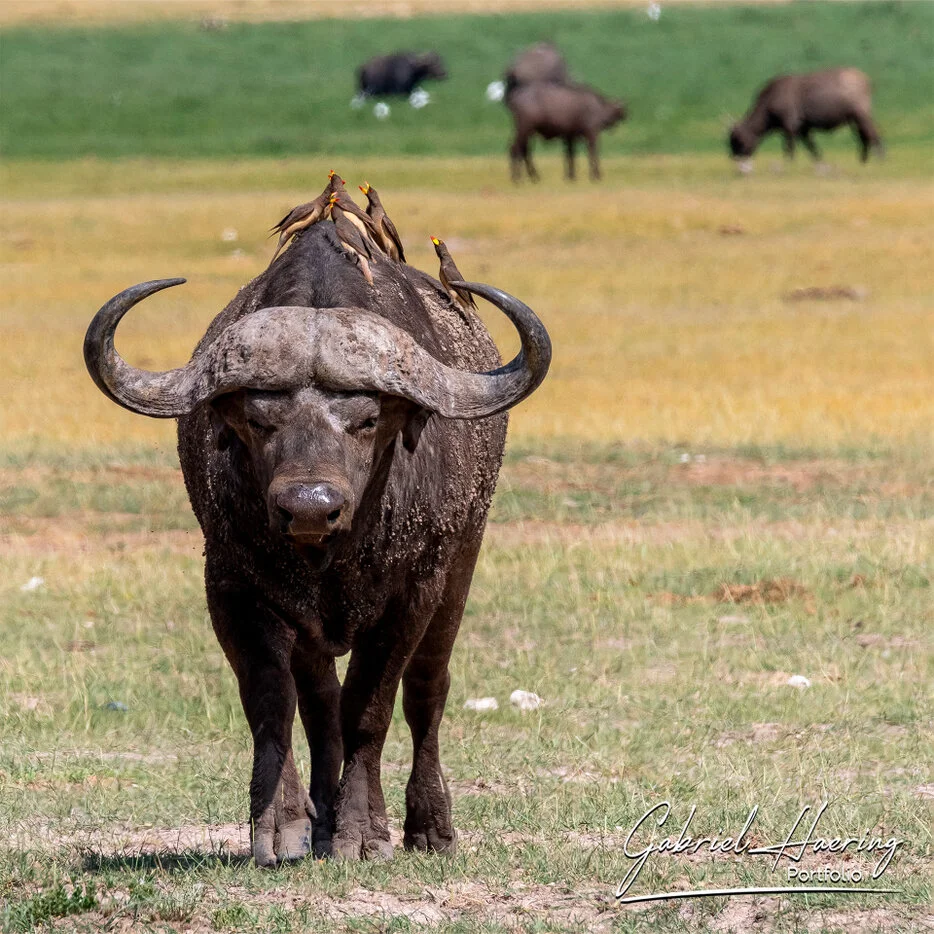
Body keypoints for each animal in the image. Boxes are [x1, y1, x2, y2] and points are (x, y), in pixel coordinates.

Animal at [84, 209, 551, 866]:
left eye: (367, 420)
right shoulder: (232, 587)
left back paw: (430, 826)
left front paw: (364, 832)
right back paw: (323, 820)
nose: (309, 506)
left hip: (461, 564)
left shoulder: (413, 592)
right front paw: (282, 826)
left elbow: (371, 707)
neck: (333, 555)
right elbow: (273, 701)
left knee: (426, 691)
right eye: (257, 419)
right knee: (320, 704)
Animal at [729, 67, 883, 165]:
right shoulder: (803, 129)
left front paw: (789, 163)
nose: (734, 157)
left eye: (737, 139)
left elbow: (789, 147)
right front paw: (819, 161)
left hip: (861, 116)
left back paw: (878, 158)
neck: (769, 101)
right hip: (854, 120)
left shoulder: (790, 127)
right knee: (864, 137)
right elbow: (812, 147)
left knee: (873, 134)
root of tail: (866, 80)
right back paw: (863, 160)